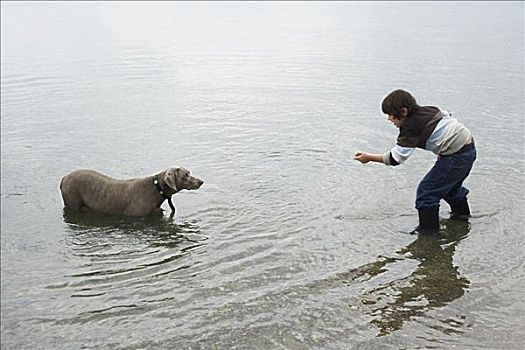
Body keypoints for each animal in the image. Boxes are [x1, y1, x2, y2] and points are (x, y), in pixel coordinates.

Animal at [58, 166, 203, 216]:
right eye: (185, 175)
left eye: (189, 172)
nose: (201, 181)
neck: (155, 190)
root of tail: (64, 177)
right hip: (72, 200)